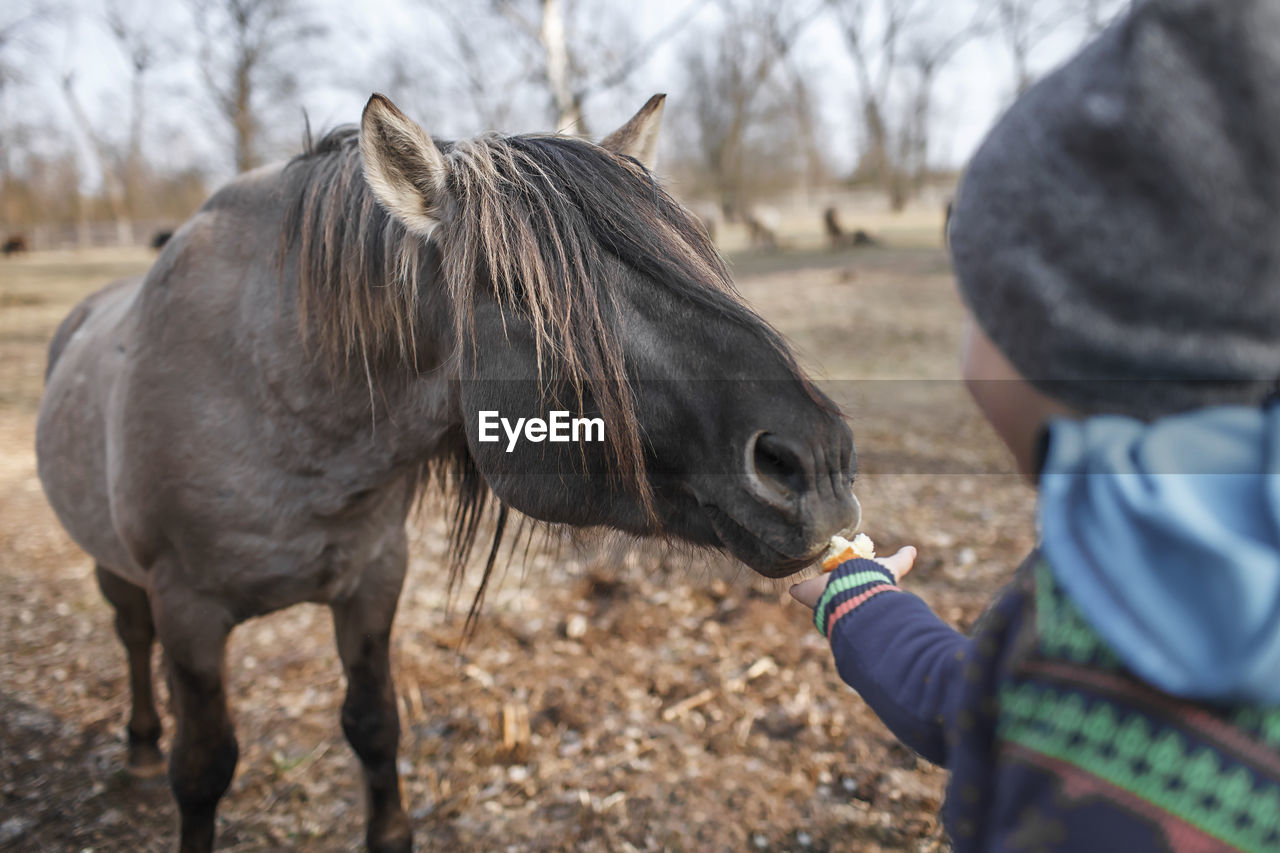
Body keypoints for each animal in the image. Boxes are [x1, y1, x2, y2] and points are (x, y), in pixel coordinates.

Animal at [37, 92, 860, 850]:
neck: (275, 399)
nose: (817, 463)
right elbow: (204, 768)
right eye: (529, 294)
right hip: (121, 571)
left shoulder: (373, 579)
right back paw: (142, 749)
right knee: (130, 635)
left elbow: (375, 725)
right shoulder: (190, 611)